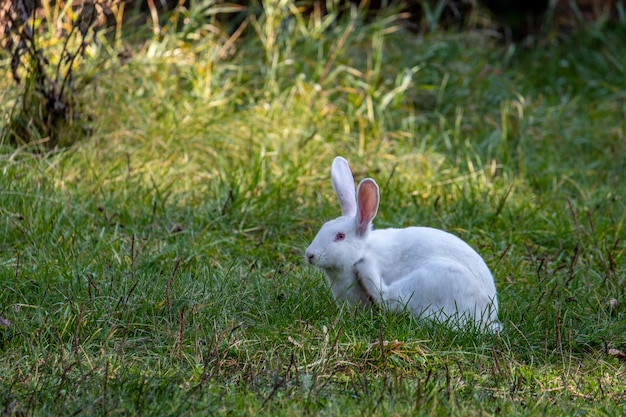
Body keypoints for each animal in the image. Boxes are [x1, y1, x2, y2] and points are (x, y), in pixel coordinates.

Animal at [304, 156, 500, 332]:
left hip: (432, 279)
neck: (363, 250)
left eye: (340, 236)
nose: (310, 255)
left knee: (388, 298)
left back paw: (365, 267)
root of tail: (485, 320)